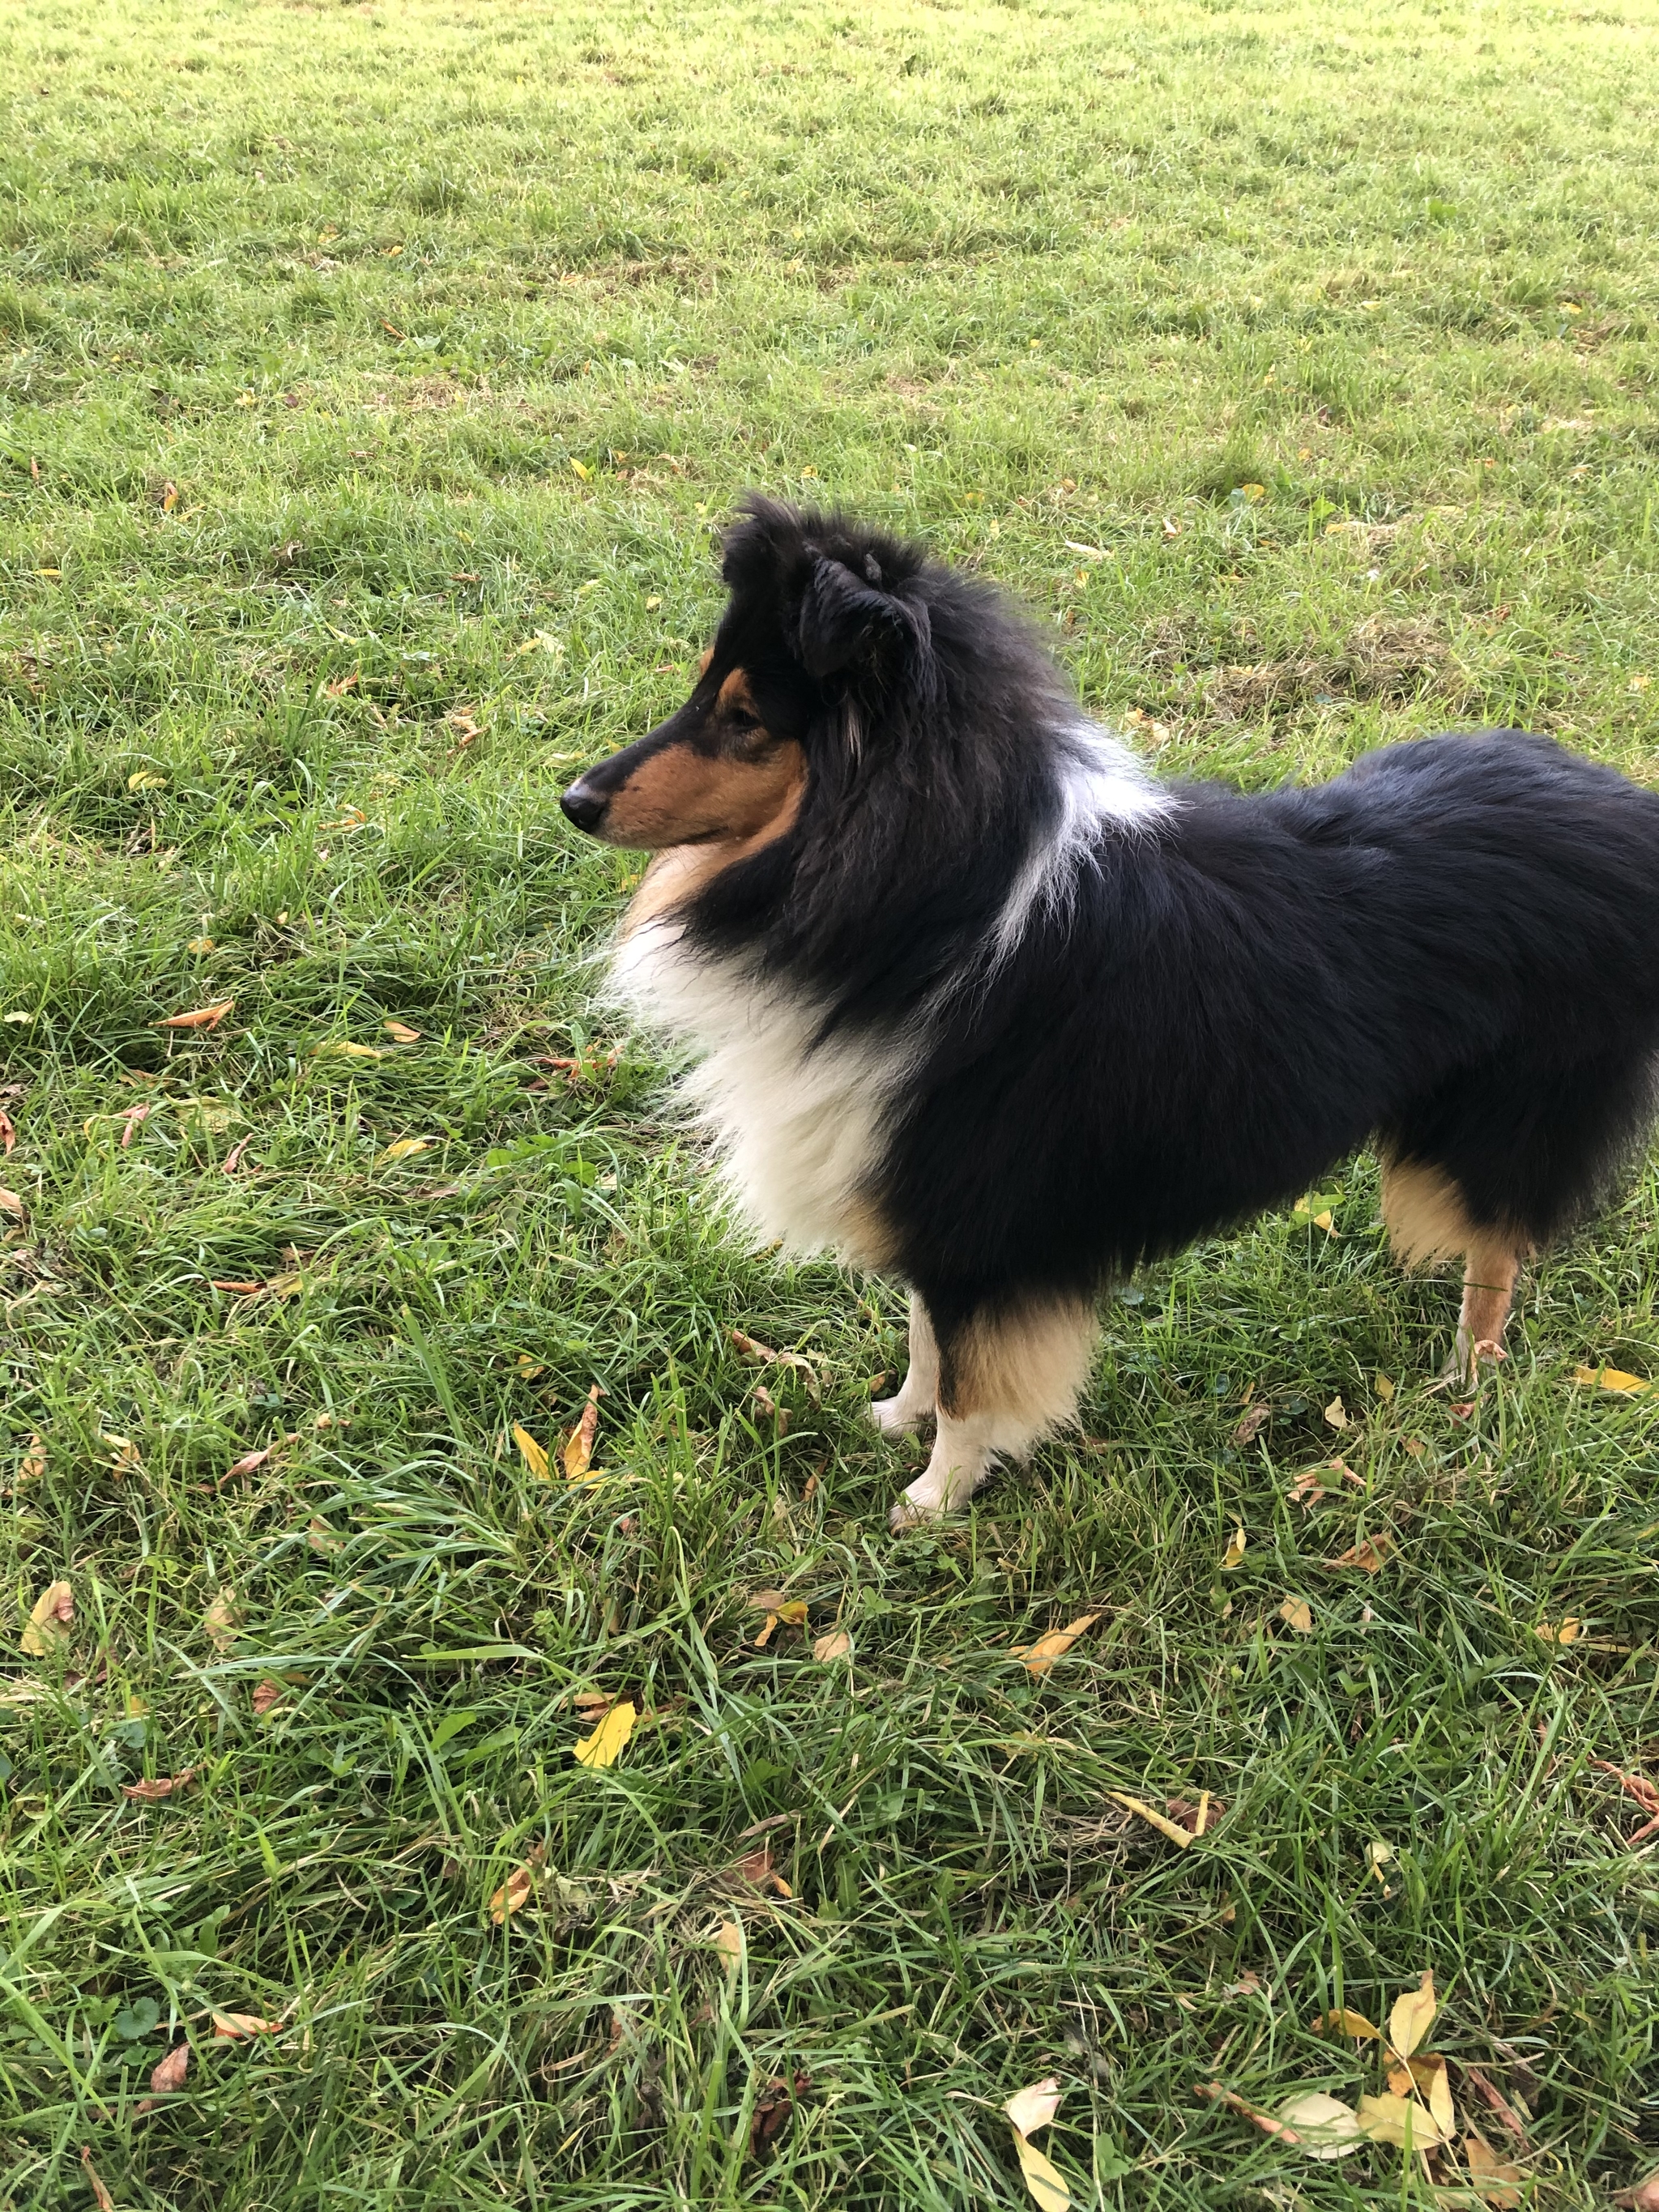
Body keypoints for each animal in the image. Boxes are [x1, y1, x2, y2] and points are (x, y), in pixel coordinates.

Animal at [566, 497, 1659, 1539]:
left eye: (747, 719)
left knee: (1496, 1254)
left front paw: (933, 1499)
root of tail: (1621, 804)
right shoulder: (920, 1191)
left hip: (1507, 1114)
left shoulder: (979, 1208)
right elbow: (923, 1334)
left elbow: (967, 1378)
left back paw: (1466, 1381)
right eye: (704, 691)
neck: (929, 894)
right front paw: (894, 1417)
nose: (573, 799)